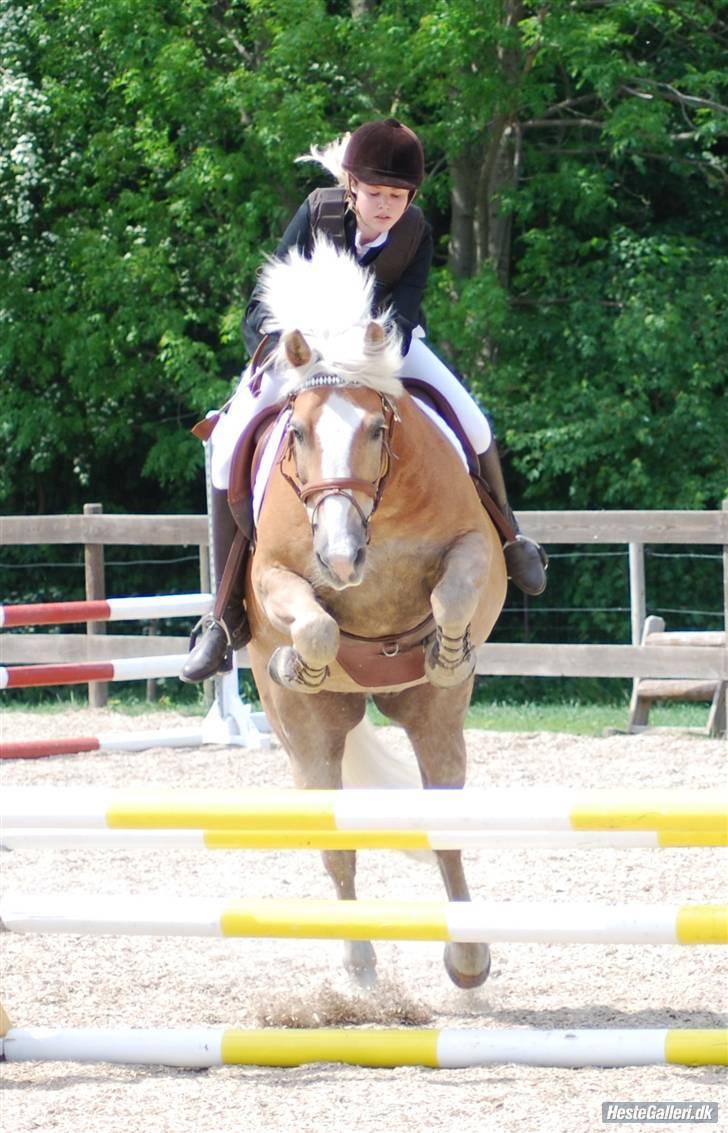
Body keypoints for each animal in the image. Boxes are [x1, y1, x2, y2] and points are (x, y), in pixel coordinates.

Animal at [243, 236, 507, 983]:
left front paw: (447, 651)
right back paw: (358, 969)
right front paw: (301, 661)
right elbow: (317, 625)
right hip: (307, 731)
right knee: (336, 841)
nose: (339, 556)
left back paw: (467, 956)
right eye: (298, 434)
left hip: (432, 716)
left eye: (374, 429)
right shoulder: (272, 575)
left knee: (444, 820)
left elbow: (453, 591)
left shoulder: (476, 546)